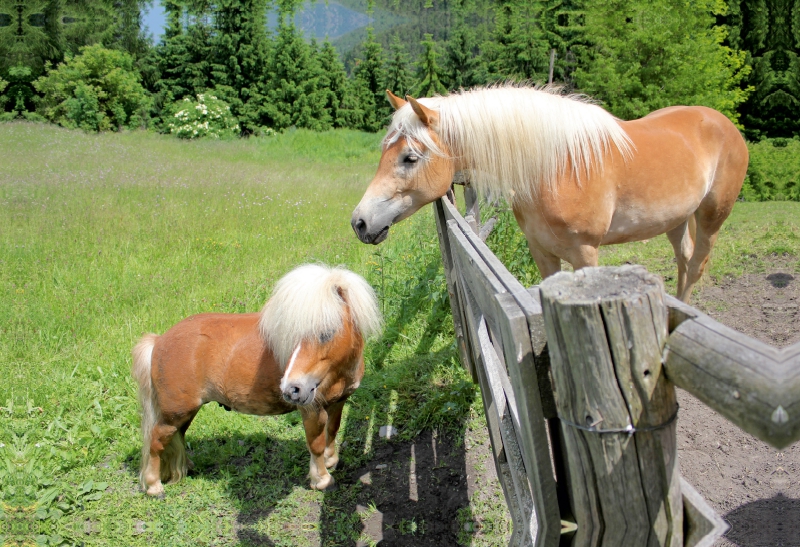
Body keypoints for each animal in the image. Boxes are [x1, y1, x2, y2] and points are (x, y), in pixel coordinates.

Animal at [131, 264, 382, 496]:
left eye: (327, 333)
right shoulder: (312, 410)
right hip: (174, 413)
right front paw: (321, 479)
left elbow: (333, 431)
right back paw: (153, 485)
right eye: (292, 336)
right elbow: (316, 444)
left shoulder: (338, 402)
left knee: (177, 437)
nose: (291, 390)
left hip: (183, 413)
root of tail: (159, 340)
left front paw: (331, 461)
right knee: (156, 441)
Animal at [352, 85, 752, 302]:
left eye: (410, 157)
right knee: (684, 260)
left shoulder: (585, 253)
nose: (360, 222)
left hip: (713, 215)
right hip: (676, 219)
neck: (556, 167)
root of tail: (722, 122)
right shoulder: (542, 251)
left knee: (697, 265)